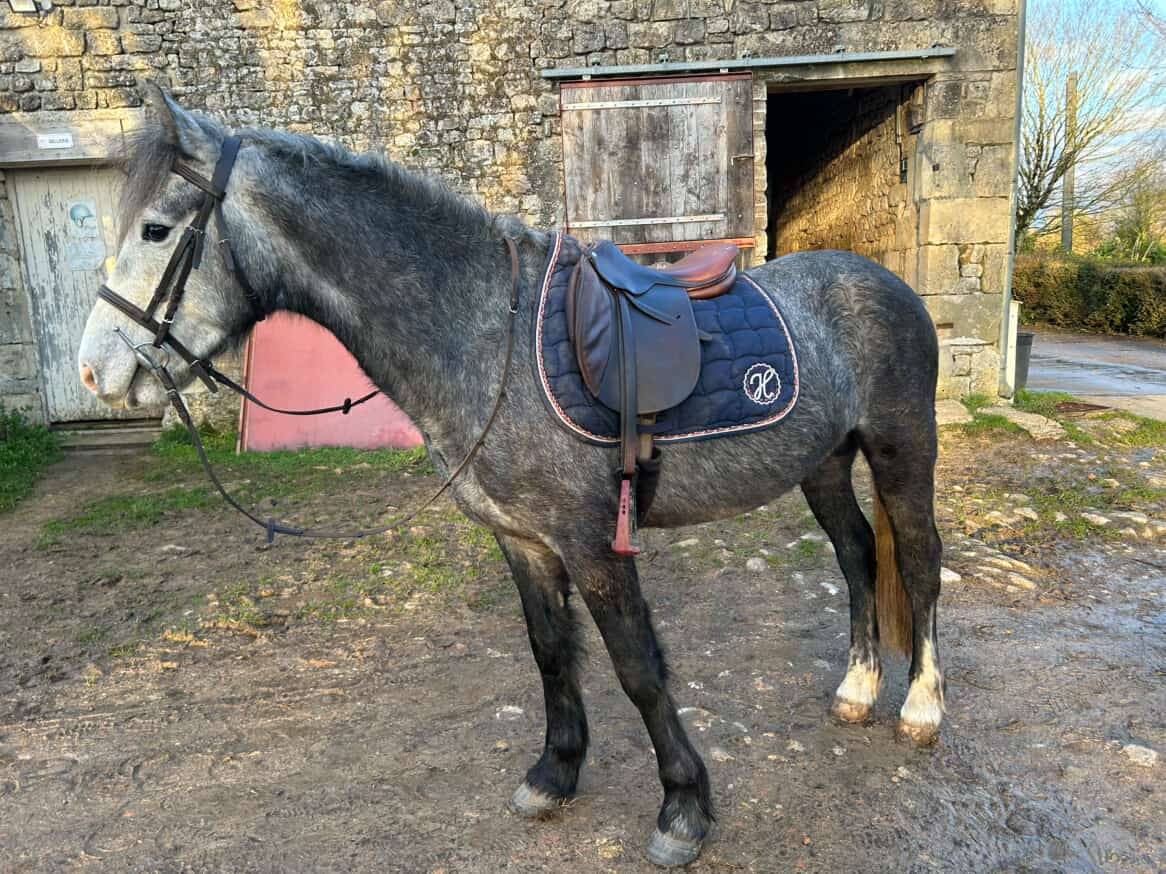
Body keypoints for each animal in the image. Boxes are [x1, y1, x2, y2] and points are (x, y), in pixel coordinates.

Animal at [77, 86, 944, 867]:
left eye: (156, 228)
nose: (94, 372)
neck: (485, 334)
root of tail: (883, 282)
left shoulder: (593, 543)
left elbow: (637, 668)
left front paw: (683, 809)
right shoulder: (521, 541)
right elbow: (550, 652)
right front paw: (554, 774)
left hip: (902, 451)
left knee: (919, 564)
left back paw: (921, 706)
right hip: (824, 462)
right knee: (857, 554)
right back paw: (857, 690)